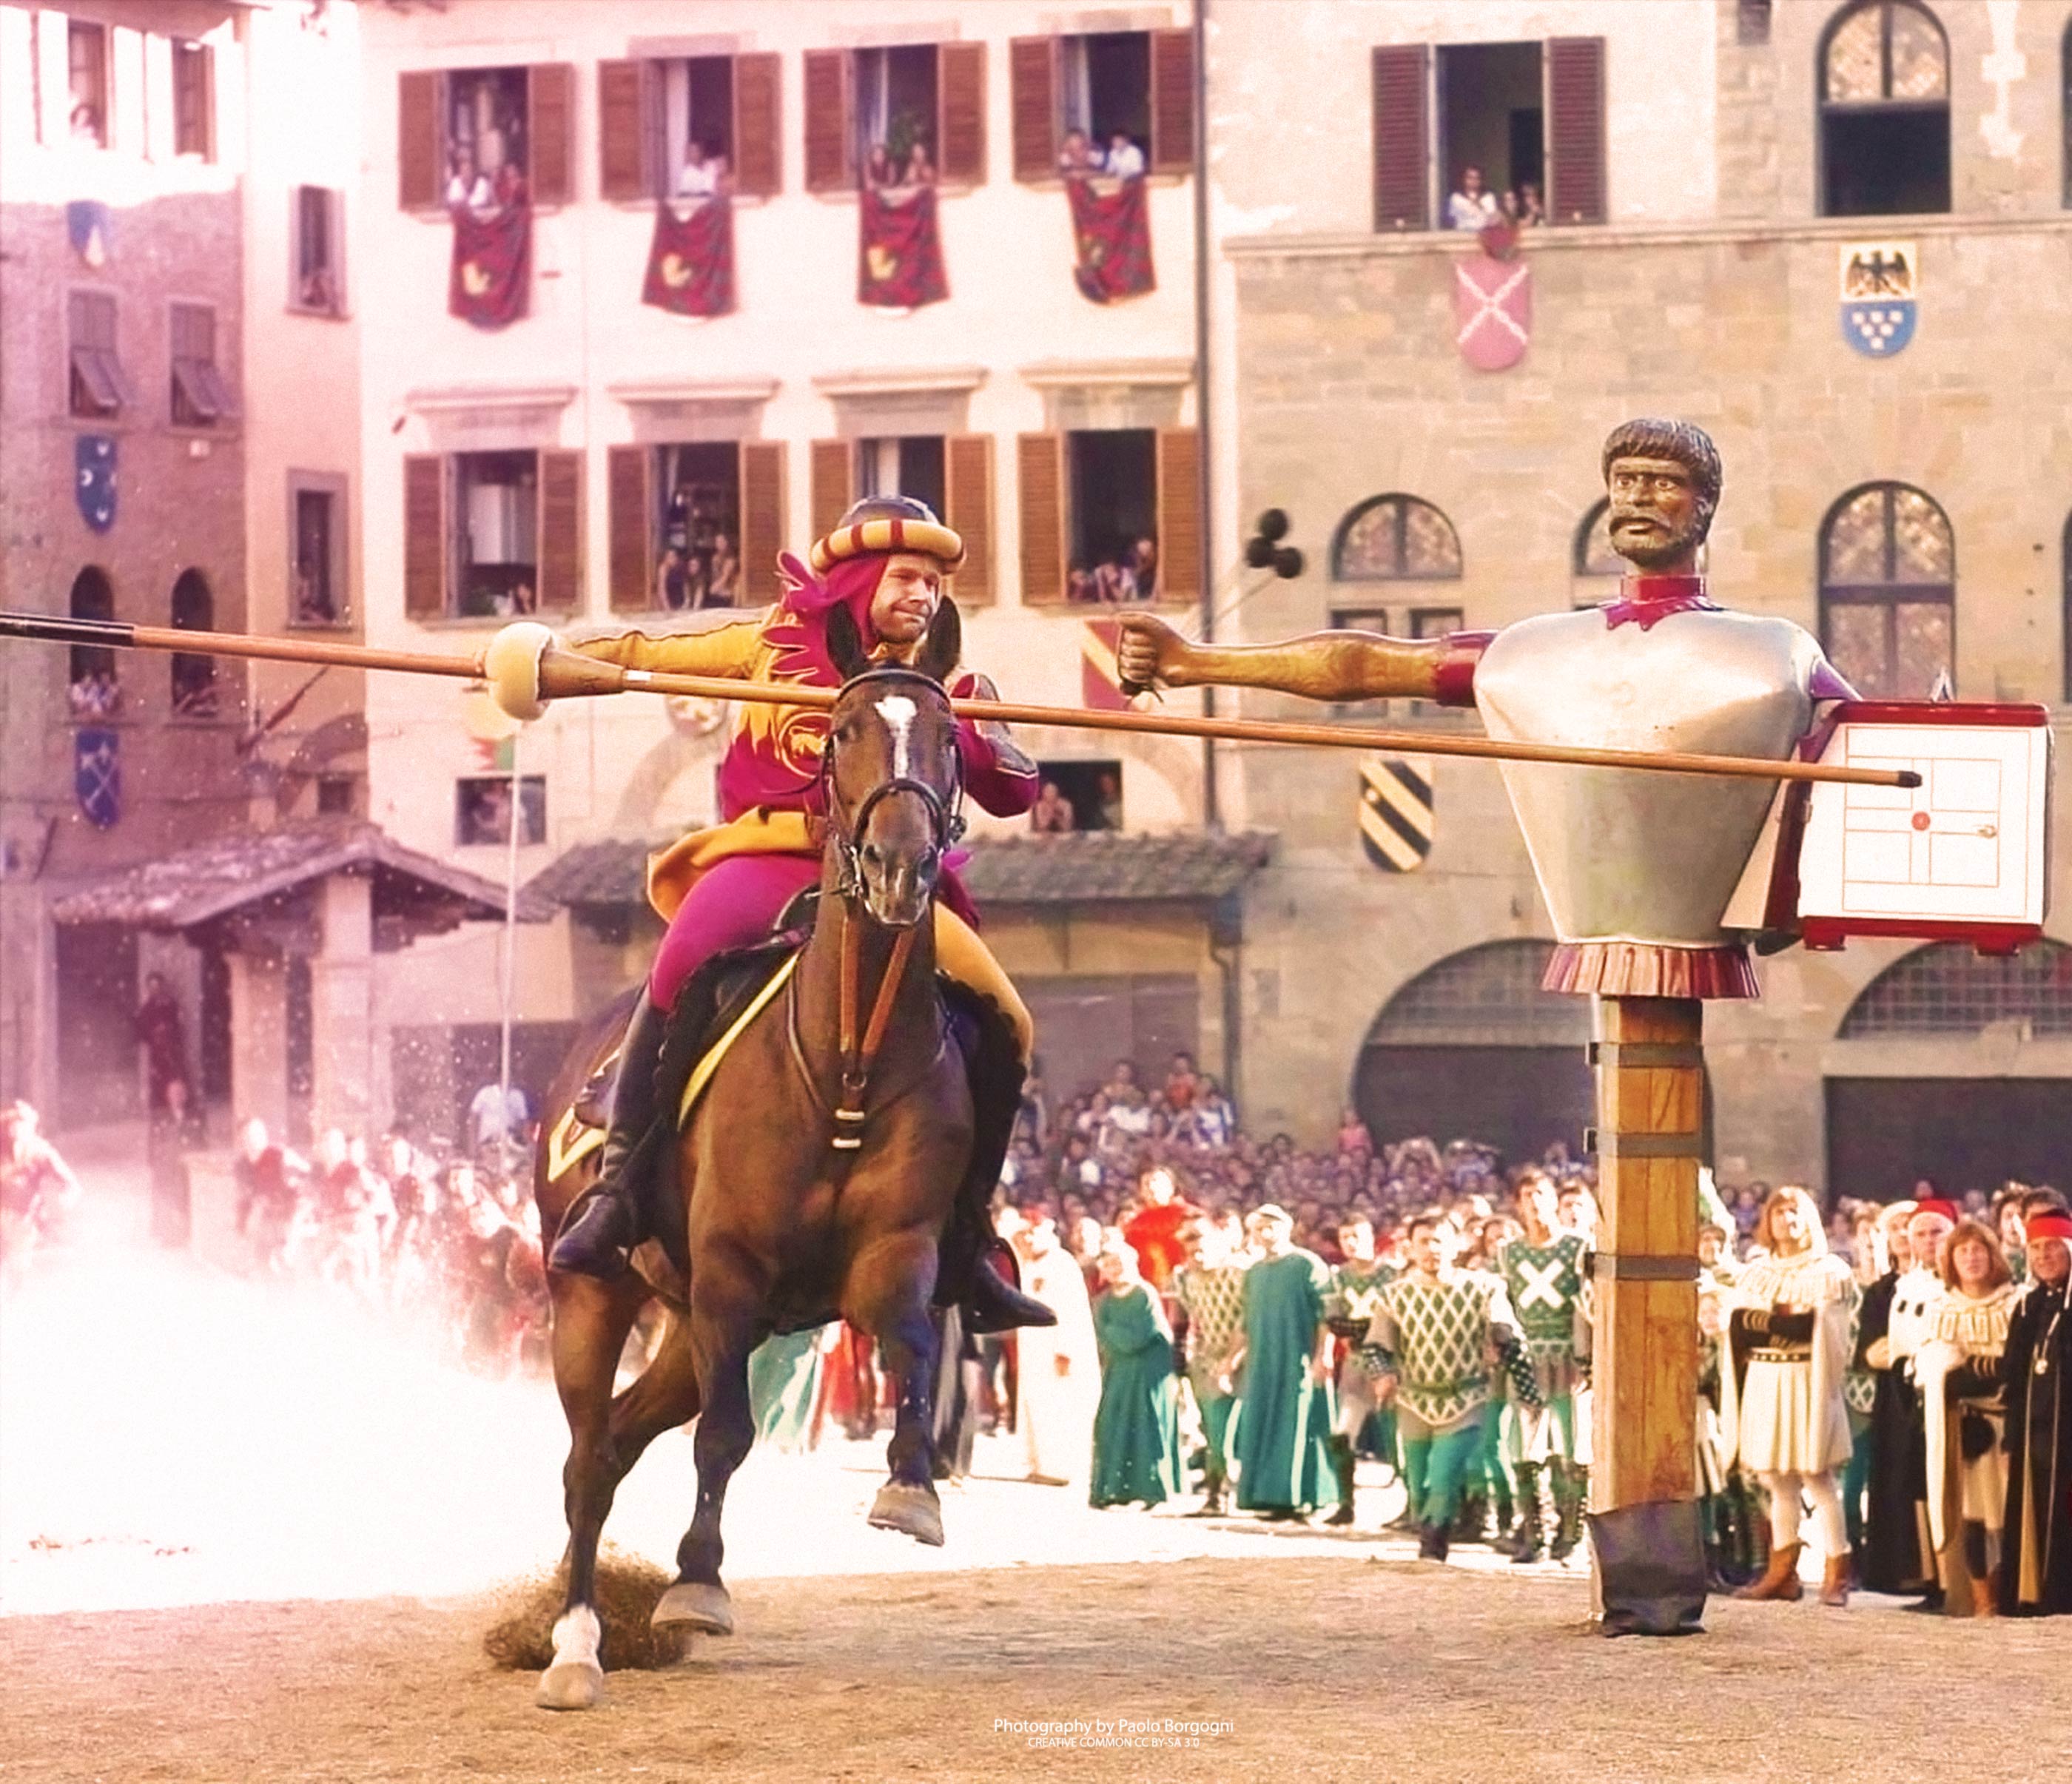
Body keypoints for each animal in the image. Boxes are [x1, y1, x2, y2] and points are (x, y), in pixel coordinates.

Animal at [532, 602, 985, 1711]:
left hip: (687, 1323)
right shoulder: (731, 1271)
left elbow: (914, 1340)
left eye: (947, 738)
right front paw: (697, 1581)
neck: (846, 1060)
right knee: (585, 1453)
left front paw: (912, 1483)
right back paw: (573, 1641)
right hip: (597, 1291)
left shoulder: (895, 1250)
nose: (902, 867)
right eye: (842, 732)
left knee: (616, 1440)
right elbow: (729, 1433)